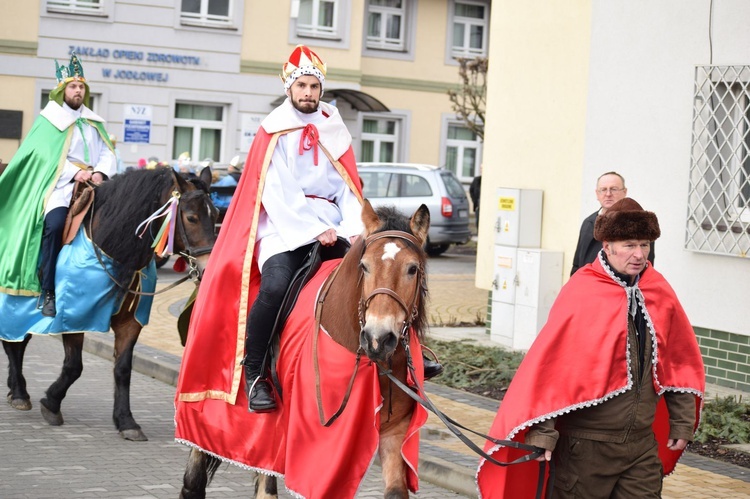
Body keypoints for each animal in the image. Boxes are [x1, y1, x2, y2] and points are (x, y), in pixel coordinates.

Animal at [2, 168, 219, 442]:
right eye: (191, 217)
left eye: (217, 215)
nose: (208, 269)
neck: (110, 246)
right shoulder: (76, 317)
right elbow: (74, 367)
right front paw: (51, 403)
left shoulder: (130, 323)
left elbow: (123, 369)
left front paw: (126, 421)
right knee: (13, 344)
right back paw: (20, 393)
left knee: (17, 344)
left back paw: (15, 389)